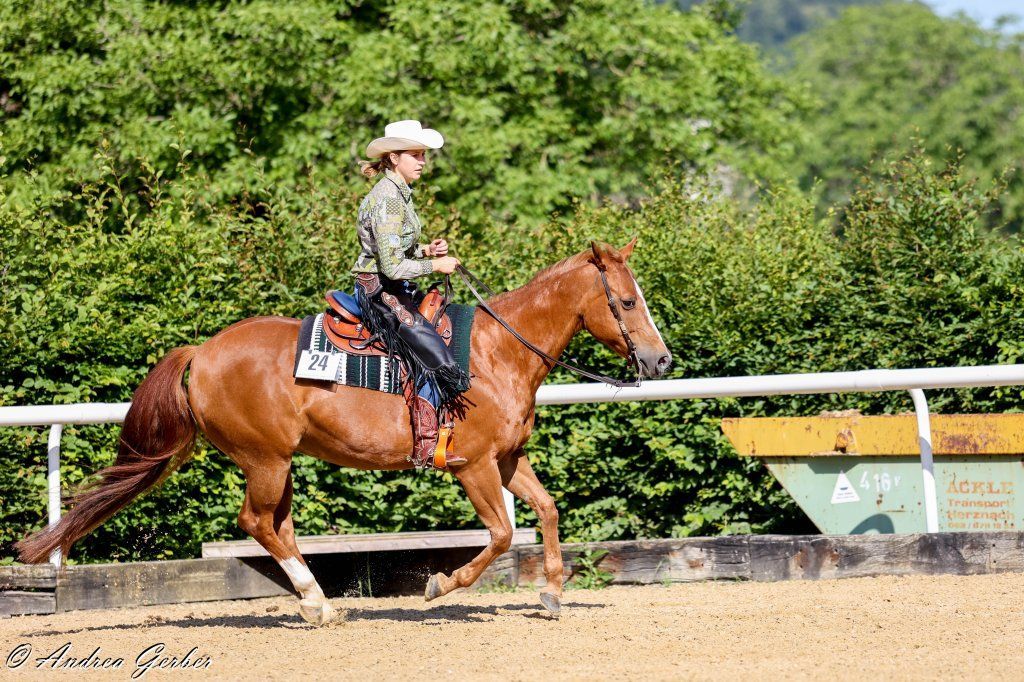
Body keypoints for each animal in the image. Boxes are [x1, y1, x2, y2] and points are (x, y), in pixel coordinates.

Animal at [17, 239, 672, 625]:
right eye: (626, 301)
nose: (661, 361)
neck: (497, 352)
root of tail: (201, 353)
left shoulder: (509, 459)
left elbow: (549, 510)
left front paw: (553, 593)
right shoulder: (475, 466)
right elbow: (503, 534)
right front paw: (439, 584)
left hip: (279, 462)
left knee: (276, 525)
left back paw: (317, 601)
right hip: (265, 459)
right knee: (257, 522)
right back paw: (317, 603)